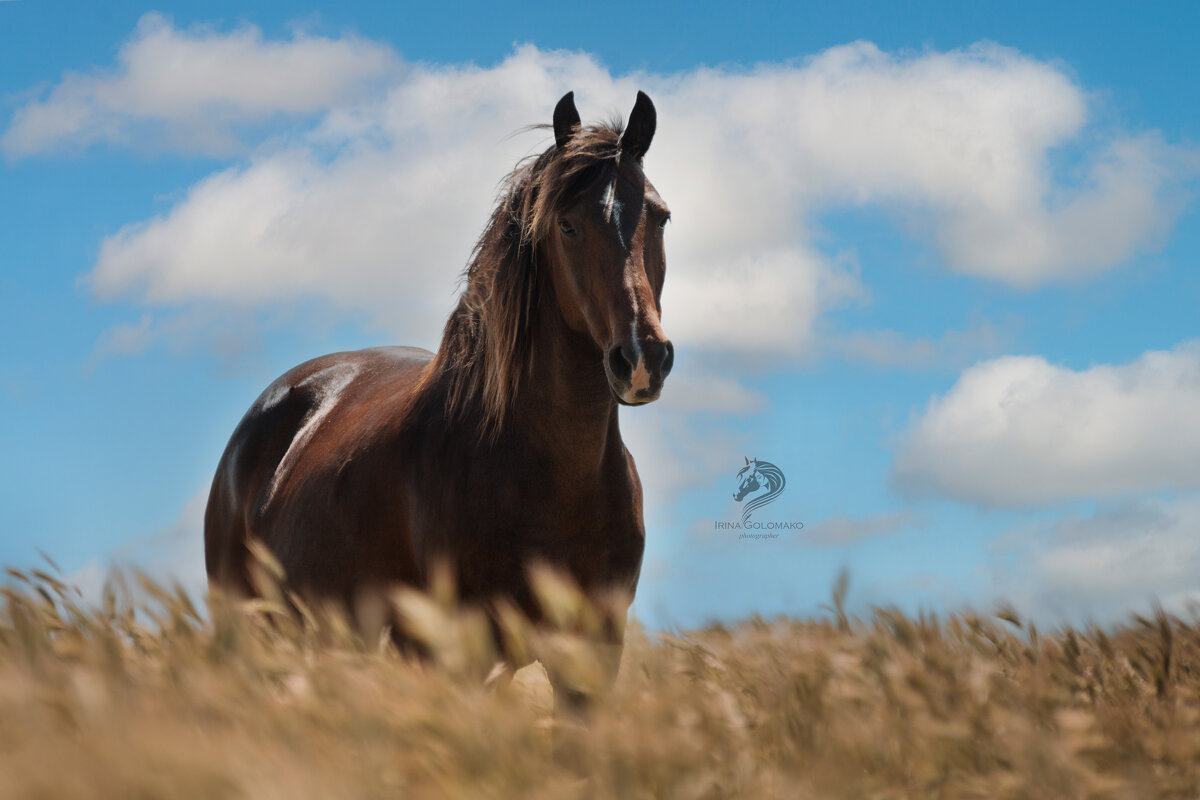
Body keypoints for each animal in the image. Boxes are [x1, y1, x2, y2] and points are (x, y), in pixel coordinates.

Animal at [206, 90, 676, 695]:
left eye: (660, 217)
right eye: (567, 226)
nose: (641, 360)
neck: (551, 474)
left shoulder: (592, 655)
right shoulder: (462, 653)